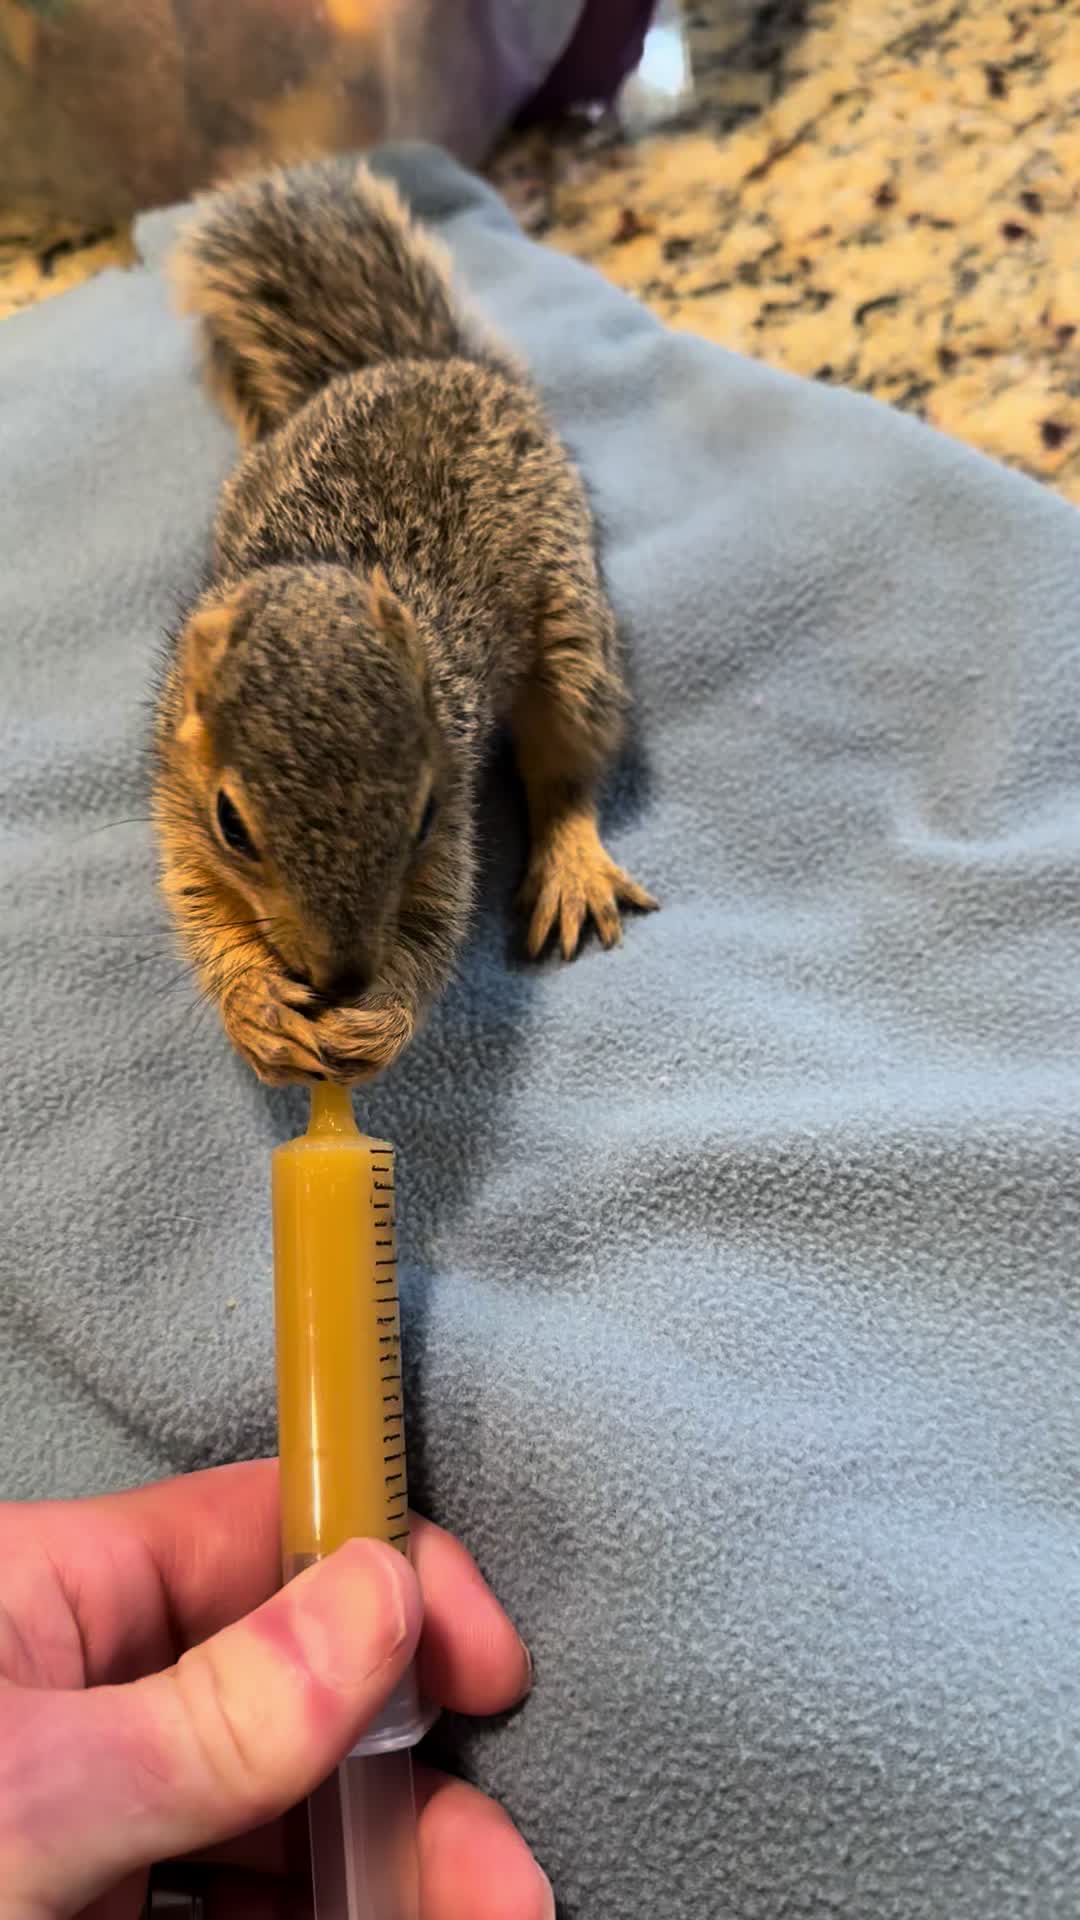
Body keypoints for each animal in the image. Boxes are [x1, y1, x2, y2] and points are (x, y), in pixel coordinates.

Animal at [153, 157, 656, 1086]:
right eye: (230, 824)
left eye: (422, 815)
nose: (342, 980)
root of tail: (425, 362)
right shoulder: (175, 800)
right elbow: (203, 916)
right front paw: (258, 1009)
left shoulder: (450, 820)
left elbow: (432, 928)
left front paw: (379, 1018)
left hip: (575, 634)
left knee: (569, 766)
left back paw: (572, 866)